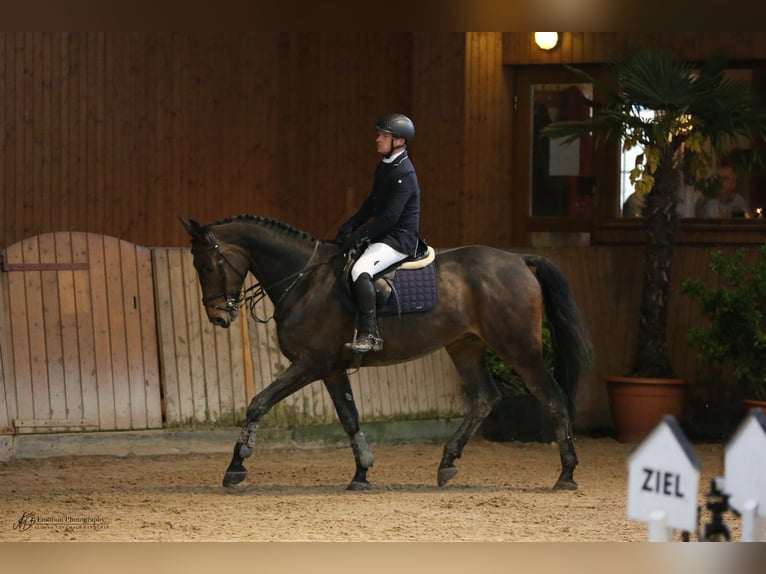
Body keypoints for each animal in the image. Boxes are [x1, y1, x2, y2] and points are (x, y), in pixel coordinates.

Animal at [180, 215, 592, 491]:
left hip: (518, 348)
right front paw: (362, 473)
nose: (219, 316)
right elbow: (350, 418)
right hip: (465, 346)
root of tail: (520, 259)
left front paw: (236, 467)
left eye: (208, 265)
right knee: (485, 398)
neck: (305, 279)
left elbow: (258, 403)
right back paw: (447, 462)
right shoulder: (331, 368)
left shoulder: (309, 363)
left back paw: (567, 474)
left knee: (553, 398)